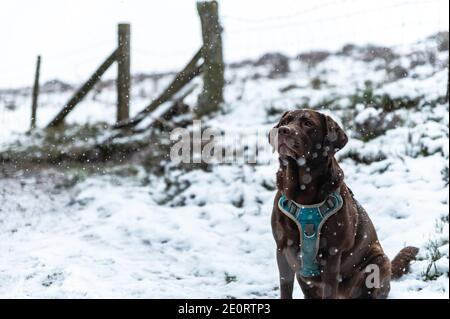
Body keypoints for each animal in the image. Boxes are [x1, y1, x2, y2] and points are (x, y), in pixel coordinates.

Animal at [268, 110, 418, 300]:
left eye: (308, 123)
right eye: (285, 122)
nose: (283, 131)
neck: (303, 196)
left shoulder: (332, 254)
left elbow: (328, 289)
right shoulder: (282, 249)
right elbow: (285, 288)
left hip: (378, 262)